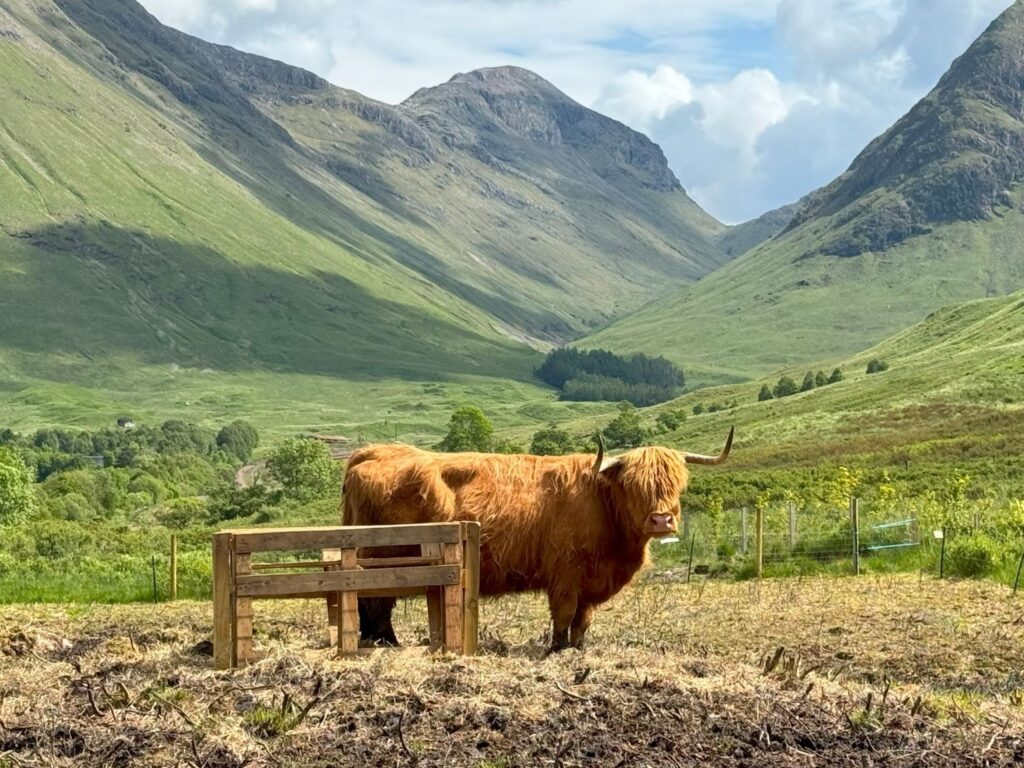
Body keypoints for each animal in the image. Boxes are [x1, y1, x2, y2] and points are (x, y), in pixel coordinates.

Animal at [340, 427, 734, 654]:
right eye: (634, 485)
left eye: (678, 483)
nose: (662, 519)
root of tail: (372, 452)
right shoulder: (565, 574)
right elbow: (564, 614)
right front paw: (556, 649)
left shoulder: (590, 581)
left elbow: (583, 620)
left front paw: (577, 649)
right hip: (385, 559)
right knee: (375, 602)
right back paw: (385, 643)